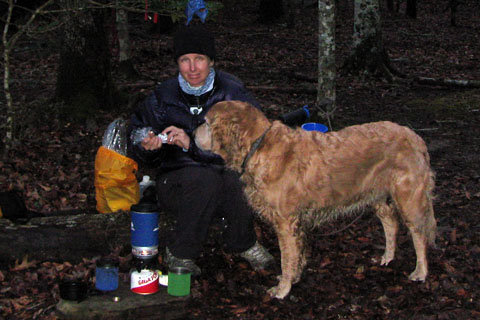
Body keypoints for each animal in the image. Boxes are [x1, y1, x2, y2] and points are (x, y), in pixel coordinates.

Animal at [193, 101, 436, 298]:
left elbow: (286, 259)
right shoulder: (297, 223)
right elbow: (297, 256)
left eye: (205, 122)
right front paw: (294, 278)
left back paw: (421, 271)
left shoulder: (286, 223)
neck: (258, 145)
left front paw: (282, 289)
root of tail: (415, 137)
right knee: (391, 221)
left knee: (419, 234)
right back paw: (388, 256)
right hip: (375, 194)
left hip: (408, 198)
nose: (191, 131)